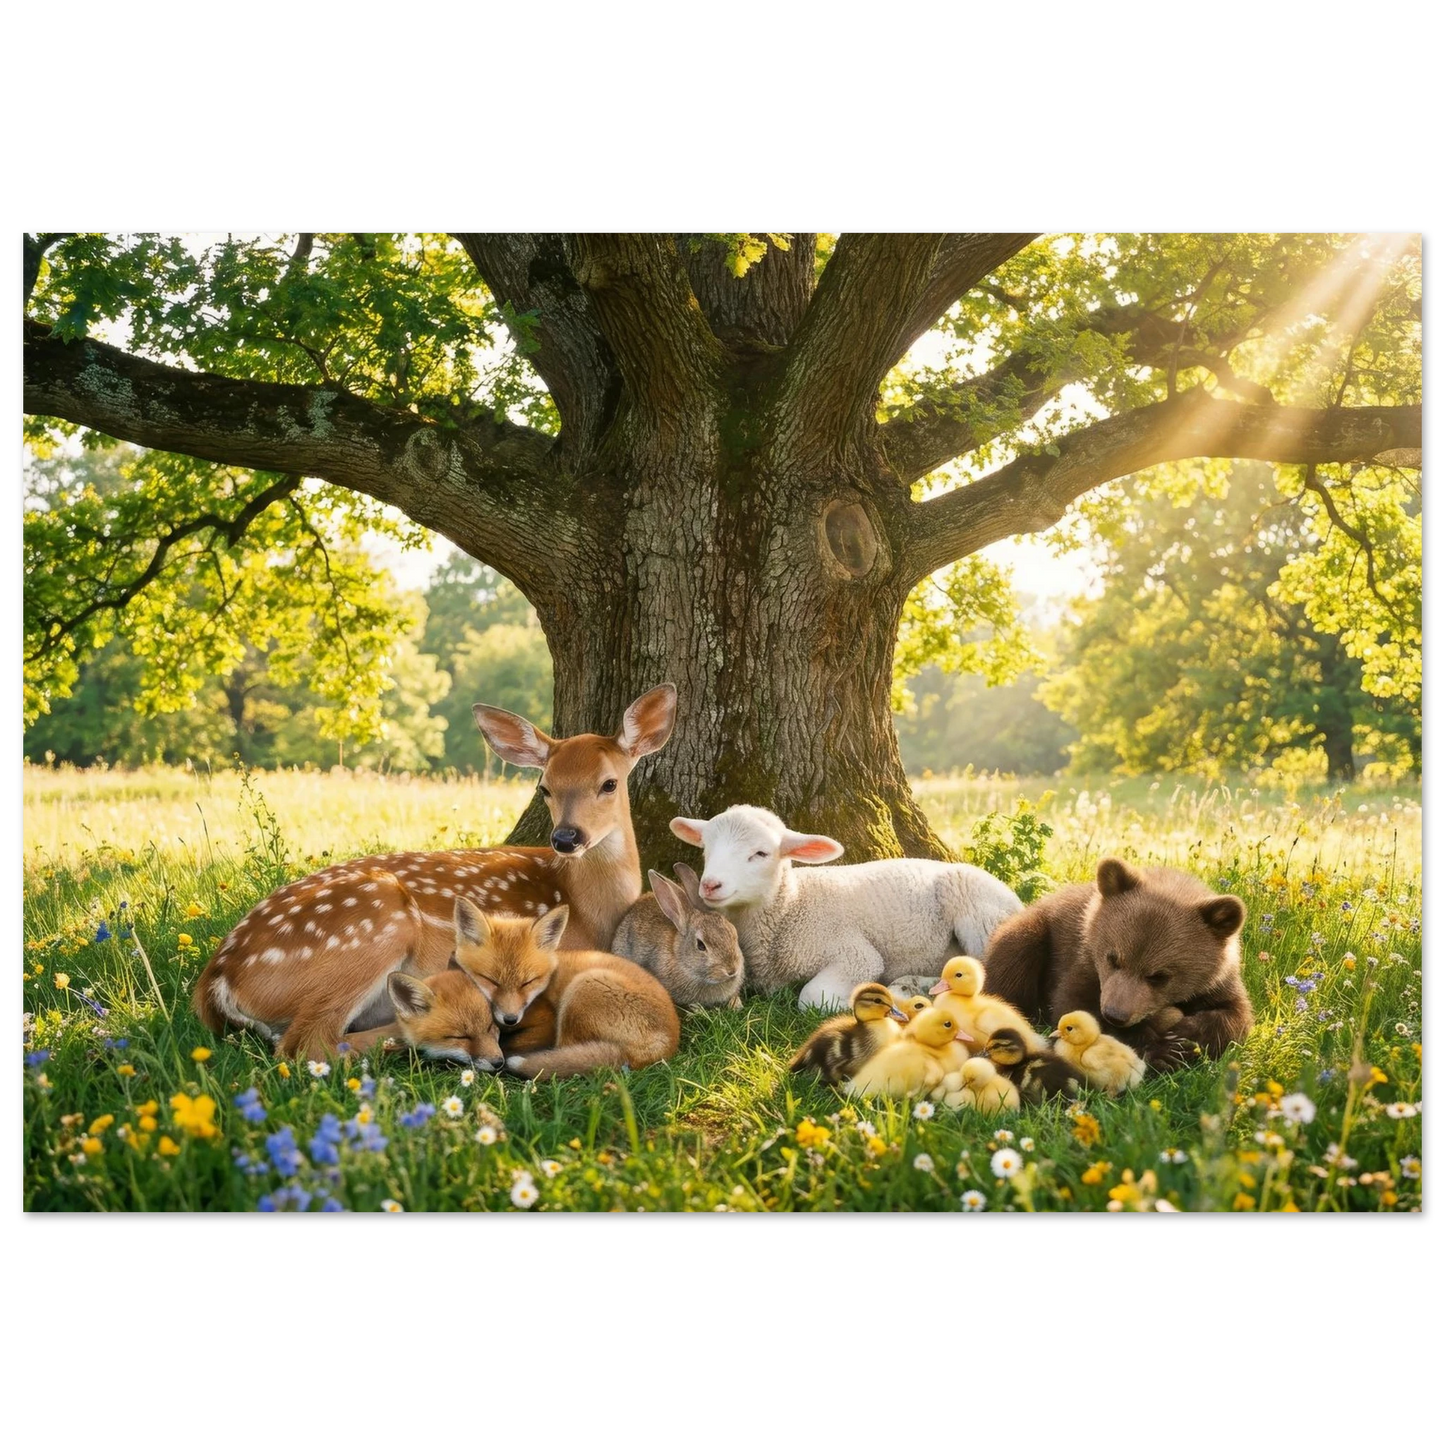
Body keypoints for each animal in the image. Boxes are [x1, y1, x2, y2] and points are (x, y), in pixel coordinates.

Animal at [191, 684, 677, 1060]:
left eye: (609, 783)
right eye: (545, 788)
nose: (566, 837)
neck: (587, 906)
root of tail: (217, 981)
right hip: (375, 926)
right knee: (310, 1044)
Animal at [669, 805, 1025, 1011]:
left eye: (760, 853)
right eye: (706, 848)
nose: (710, 885)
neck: (790, 906)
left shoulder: (855, 954)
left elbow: (812, 998)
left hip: (979, 917)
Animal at [980, 857, 1252, 1072]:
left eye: (1159, 976)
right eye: (1113, 958)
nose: (1115, 1015)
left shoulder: (1218, 981)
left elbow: (1236, 1014)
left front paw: (1185, 1034)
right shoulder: (1082, 960)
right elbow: (1075, 1005)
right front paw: (1160, 1051)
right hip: (1030, 934)